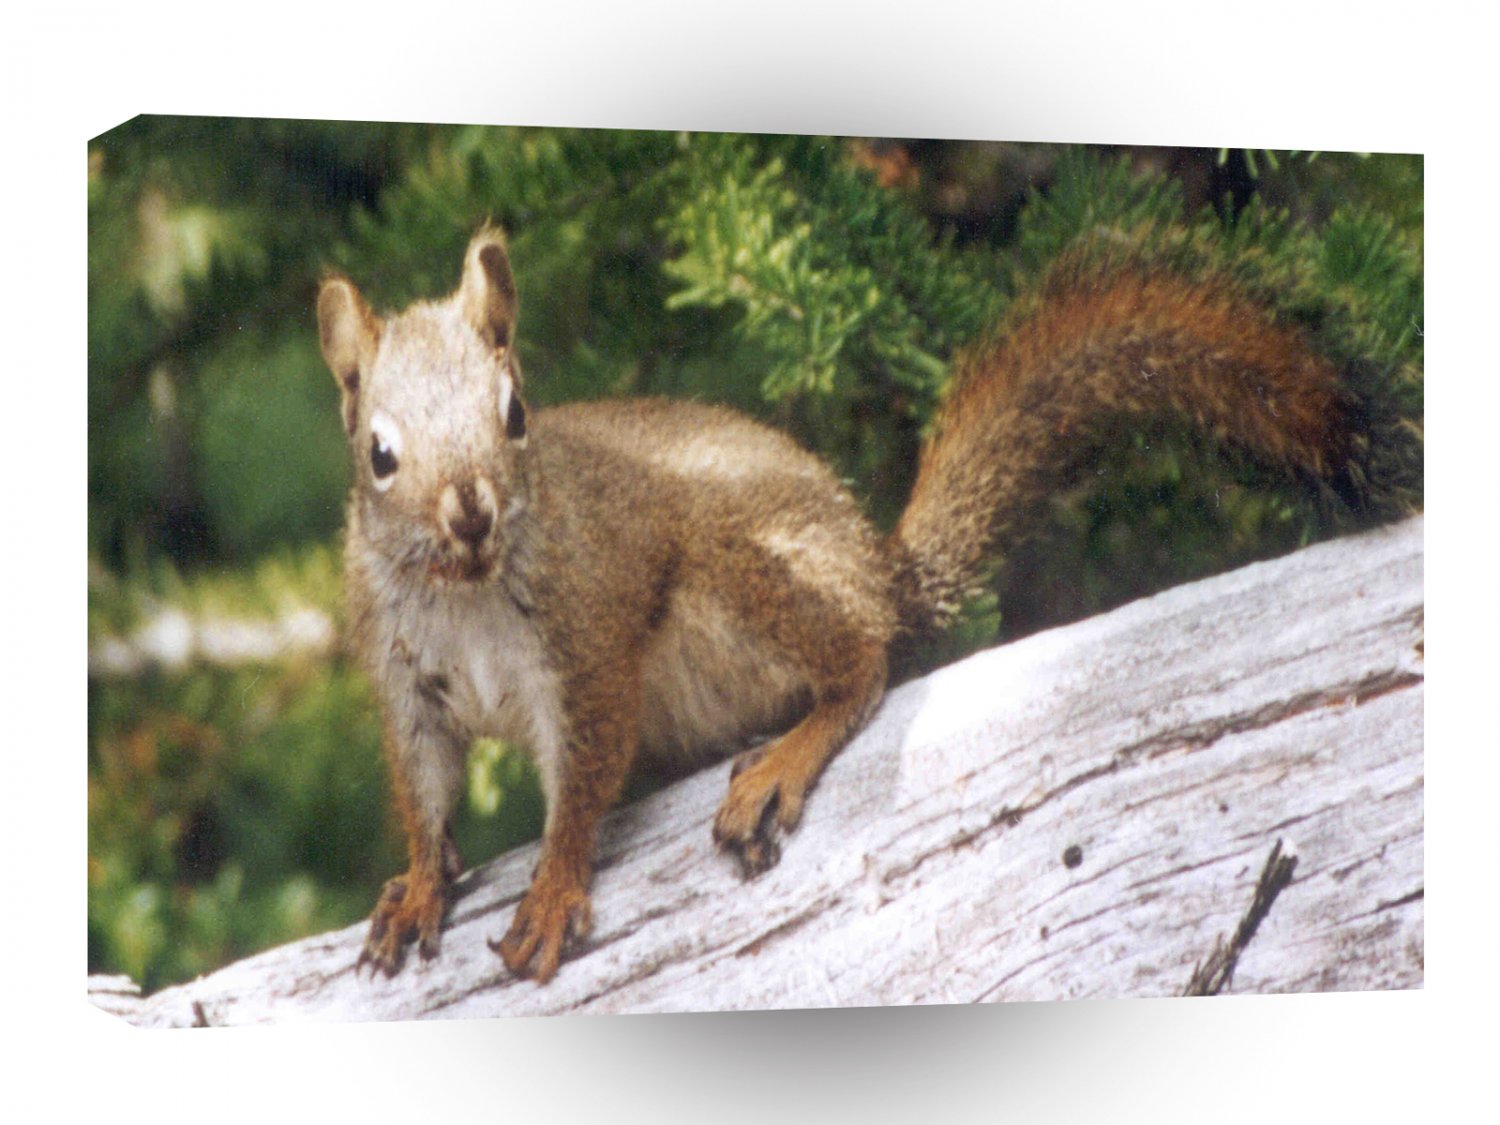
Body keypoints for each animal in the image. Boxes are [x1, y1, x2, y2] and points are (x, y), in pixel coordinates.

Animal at [316, 225, 1362, 983]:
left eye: (516, 413)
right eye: (379, 454)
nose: (470, 512)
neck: (464, 591)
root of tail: (877, 567)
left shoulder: (587, 649)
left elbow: (577, 791)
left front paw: (549, 892)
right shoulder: (405, 682)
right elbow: (423, 793)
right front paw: (418, 888)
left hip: (737, 571)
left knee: (863, 661)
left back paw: (785, 758)